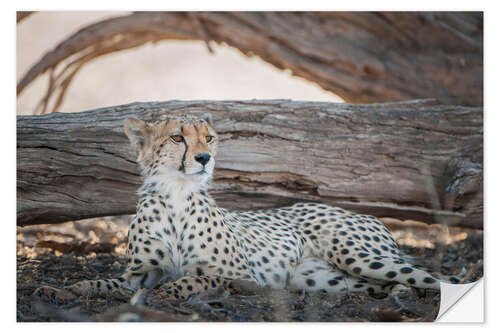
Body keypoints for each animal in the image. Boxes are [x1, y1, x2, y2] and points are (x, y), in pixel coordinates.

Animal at [34, 114, 464, 300]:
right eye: (177, 137)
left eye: (208, 137)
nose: (205, 158)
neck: (176, 195)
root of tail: (365, 213)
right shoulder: (139, 273)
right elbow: (107, 283)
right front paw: (66, 288)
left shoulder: (243, 276)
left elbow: (194, 279)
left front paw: (169, 293)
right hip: (325, 279)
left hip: (357, 254)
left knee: (436, 279)